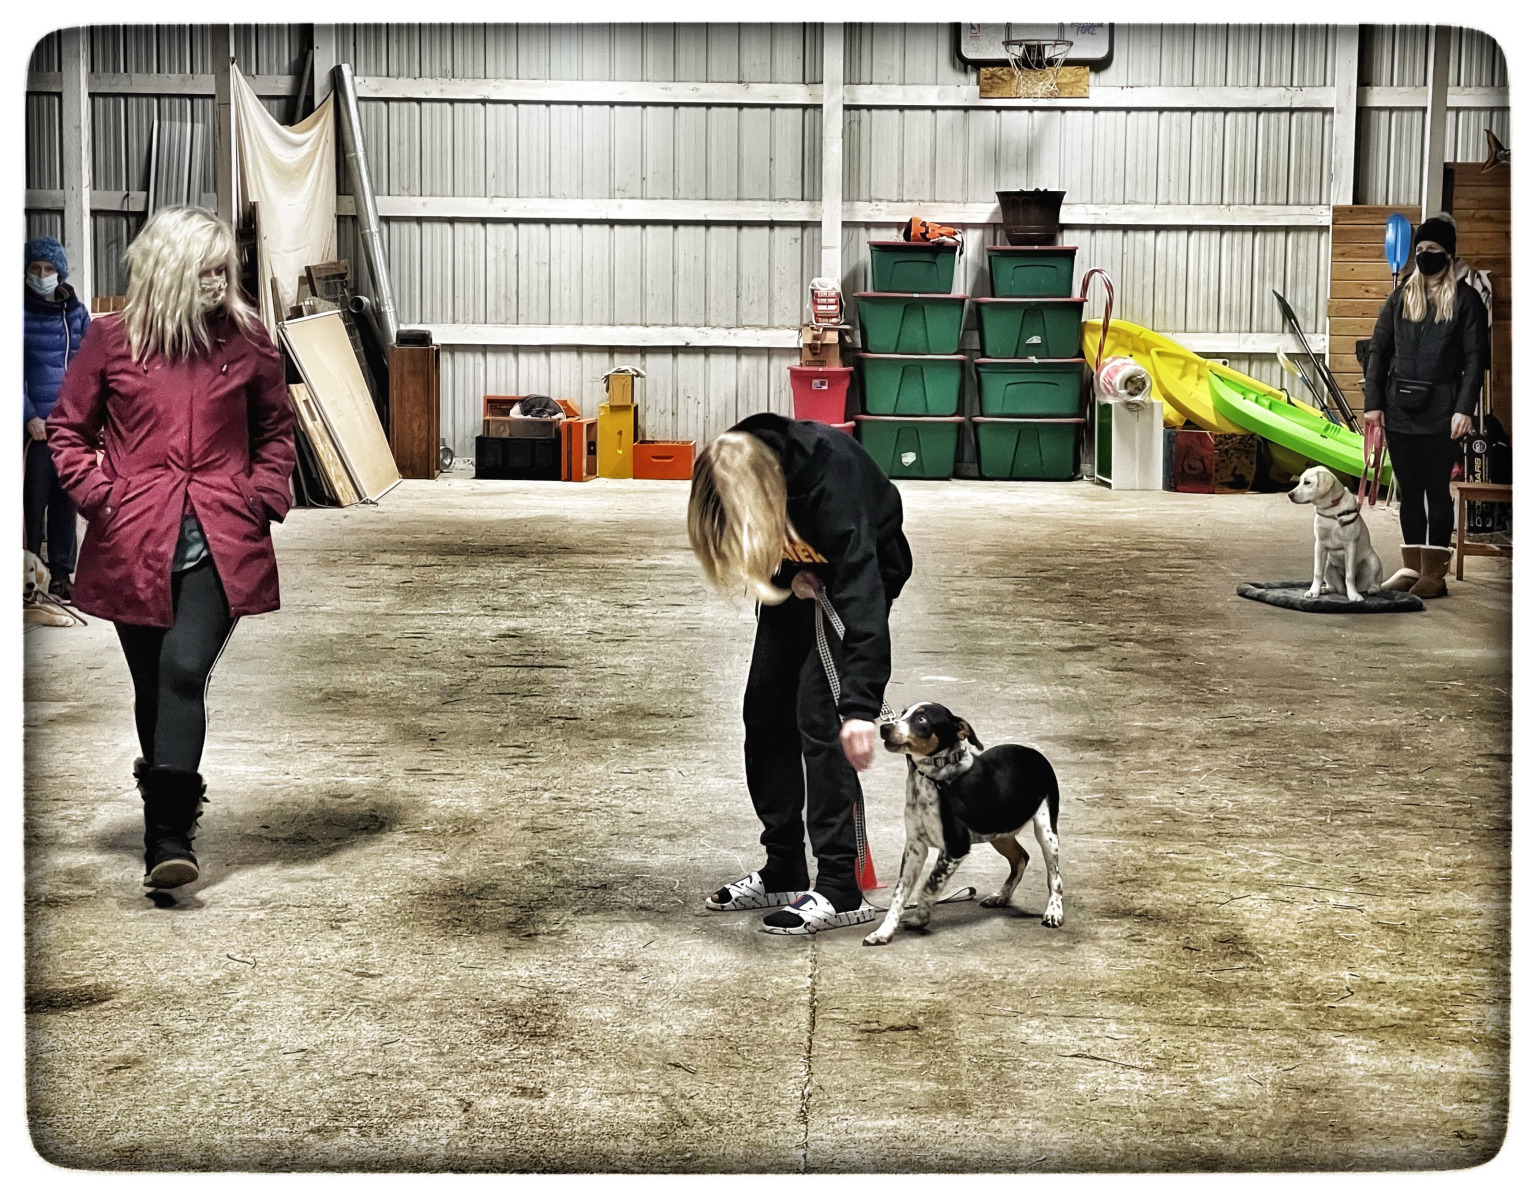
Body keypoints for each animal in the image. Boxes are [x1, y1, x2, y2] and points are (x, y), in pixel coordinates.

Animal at [864, 702, 1063, 946]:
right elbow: (899, 894)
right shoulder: (915, 846)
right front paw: (884, 932)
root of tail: (1035, 754)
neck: (932, 779)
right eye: (902, 714)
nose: (885, 728)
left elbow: (928, 888)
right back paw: (1001, 897)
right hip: (998, 831)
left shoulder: (954, 848)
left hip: (1045, 830)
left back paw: (1054, 912)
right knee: (1021, 858)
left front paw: (920, 919)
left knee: (1055, 877)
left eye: (921, 719)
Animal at [1287, 465, 1384, 603]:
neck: (1331, 511)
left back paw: (1372, 589)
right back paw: (1325, 589)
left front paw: (1353, 595)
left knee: (1373, 584)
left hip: (1373, 561)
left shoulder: (1350, 546)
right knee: (1335, 587)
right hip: (1328, 564)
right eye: (1300, 481)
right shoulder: (1320, 545)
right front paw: (1313, 591)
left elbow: (1349, 575)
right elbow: (1317, 572)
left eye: (1307, 482)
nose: (1289, 494)